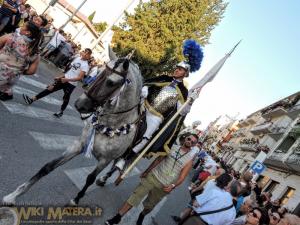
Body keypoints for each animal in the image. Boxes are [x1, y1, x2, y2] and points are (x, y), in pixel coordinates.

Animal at [2, 50, 143, 205]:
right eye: (98, 73)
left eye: (111, 82)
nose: (80, 104)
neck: (111, 124)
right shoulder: (79, 145)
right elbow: (48, 166)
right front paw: (13, 195)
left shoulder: (104, 160)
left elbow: (90, 178)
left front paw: (76, 199)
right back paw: (103, 180)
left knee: (117, 167)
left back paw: (103, 179)